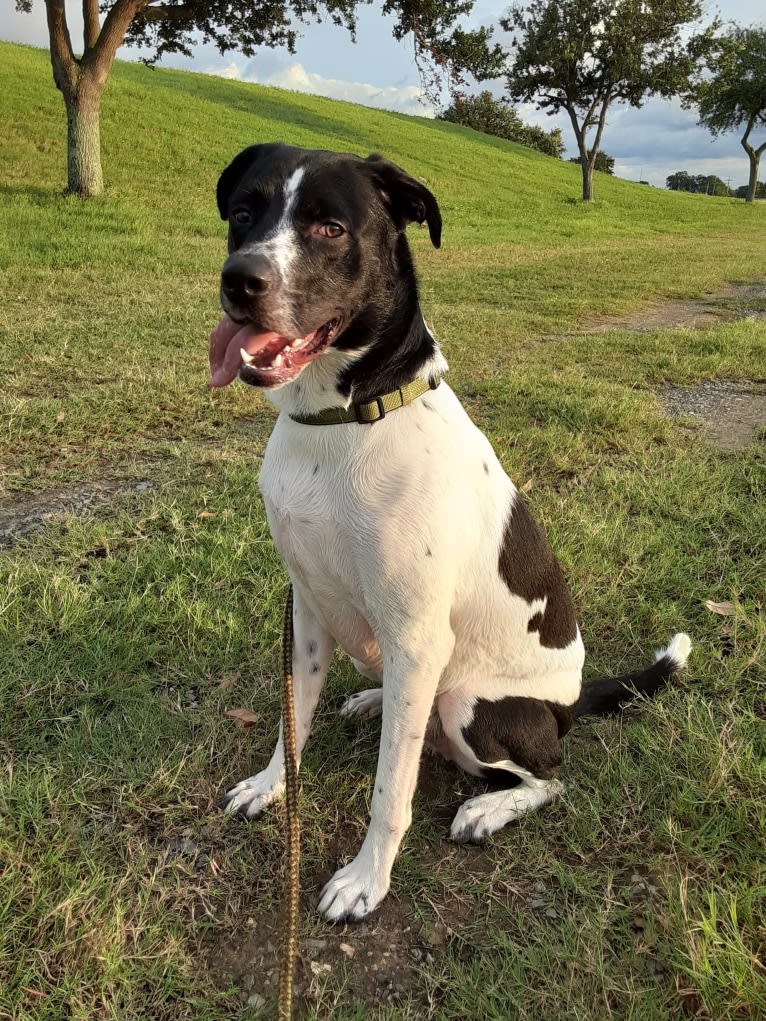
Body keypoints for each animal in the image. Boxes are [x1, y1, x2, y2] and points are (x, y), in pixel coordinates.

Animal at [208, 143, 690, 927]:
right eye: (246, 210)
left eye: (330, 228)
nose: (240, 280)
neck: (342, 423)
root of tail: (569, 704)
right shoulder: (306, 611)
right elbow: (292, 720)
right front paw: (271, 783)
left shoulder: (416, 635)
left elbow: (390, 791)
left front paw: (366, 879)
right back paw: (373, 700)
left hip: (472, 705)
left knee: (550, 776)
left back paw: (489, 807)